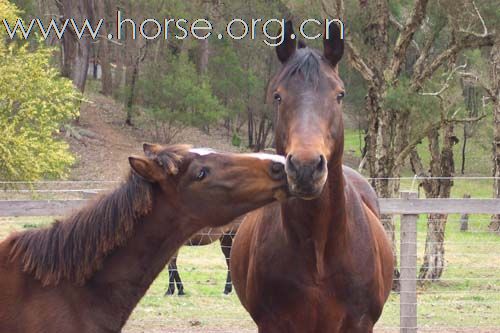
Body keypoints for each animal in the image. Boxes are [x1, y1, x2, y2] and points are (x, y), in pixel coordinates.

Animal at [231, 22, 394, 330]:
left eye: (339, 95)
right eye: (278, 95)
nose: (306, 168)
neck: (318, 250)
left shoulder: (359, 324)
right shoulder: (272, 324)